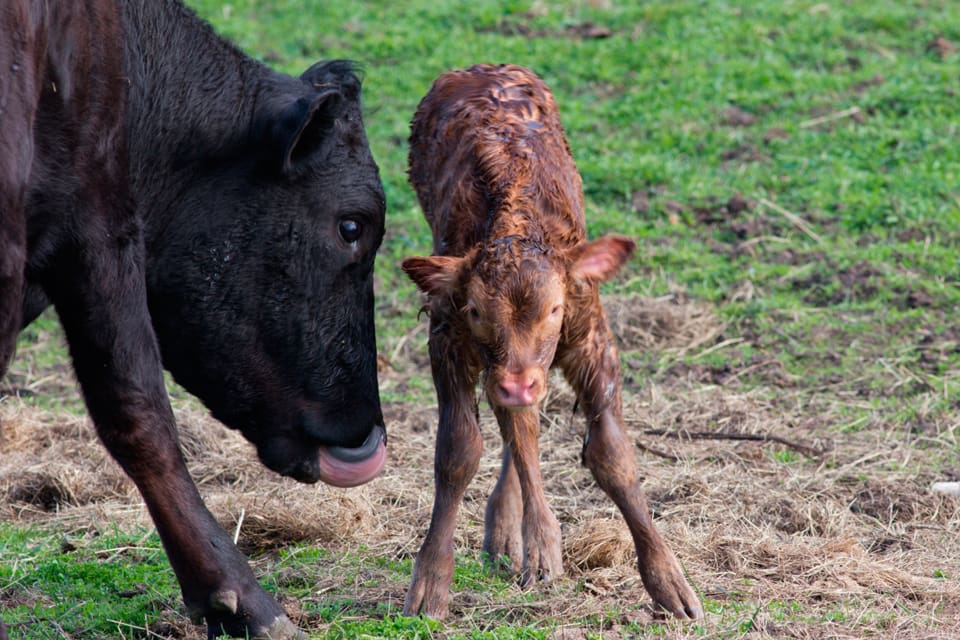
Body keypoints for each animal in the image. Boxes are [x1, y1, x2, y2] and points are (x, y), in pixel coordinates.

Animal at [400, 64, 702, 621]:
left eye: (556, 310)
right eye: (476, 310)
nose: (518, 382)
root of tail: (485, 68)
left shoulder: (592, 338)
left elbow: (613, 456)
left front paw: (669, 582)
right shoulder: (449, 338)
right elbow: (459, 451)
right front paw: (431, 582)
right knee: (516, 425)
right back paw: (520, 535)